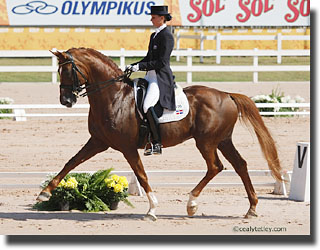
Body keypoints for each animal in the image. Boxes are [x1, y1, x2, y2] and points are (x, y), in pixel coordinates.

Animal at [37, 47, 282, 220]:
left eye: (68, 71)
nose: (66, 101)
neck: (114, 97)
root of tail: (227, 94)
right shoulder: (98, 141)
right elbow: (71, 162)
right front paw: (45, 192)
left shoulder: (126, 147)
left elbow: (142, 175)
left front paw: (152, 209)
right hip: (223, 140)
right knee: (240, 165)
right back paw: (251, 208)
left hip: (206, 142)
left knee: (215, 167)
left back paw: (191, 204)